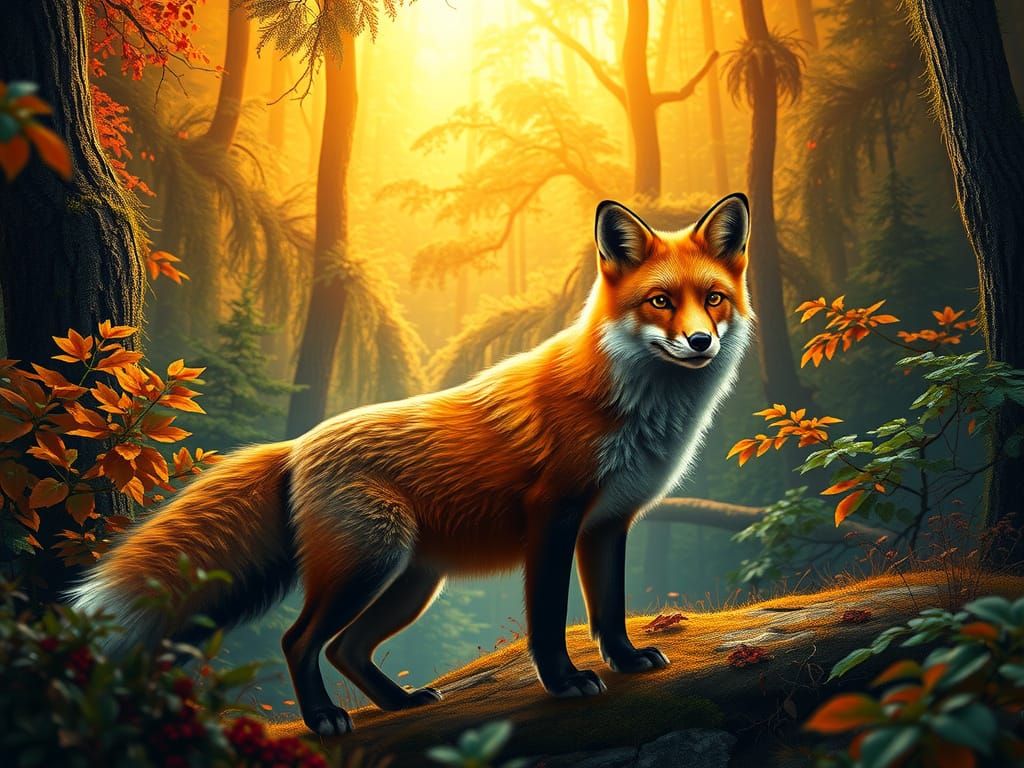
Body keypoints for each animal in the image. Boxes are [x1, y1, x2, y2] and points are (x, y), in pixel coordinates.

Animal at [68, 194, 754, 736]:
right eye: (659, 301)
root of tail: (295, 445)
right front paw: (564, 683)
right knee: (301, 640)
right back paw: (323, 718)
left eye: (714, 299)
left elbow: (609, 608)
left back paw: (398, 703)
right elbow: (549, 619)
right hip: (368, 564)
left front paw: (628, 661)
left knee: (346, 649)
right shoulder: (554, 517)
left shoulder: (608, 523)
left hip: (412, 582)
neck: (634, 405)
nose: (700, 342)